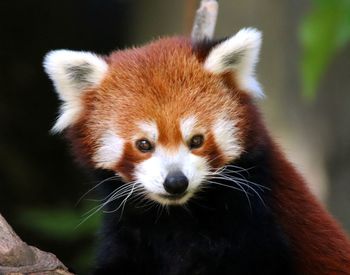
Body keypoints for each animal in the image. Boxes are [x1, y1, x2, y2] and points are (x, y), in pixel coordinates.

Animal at [45, 29, 350, 274]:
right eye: (144, 144)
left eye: (196, 140)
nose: (175, 182)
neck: (177, 218)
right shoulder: (128, 230)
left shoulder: (256, 218)